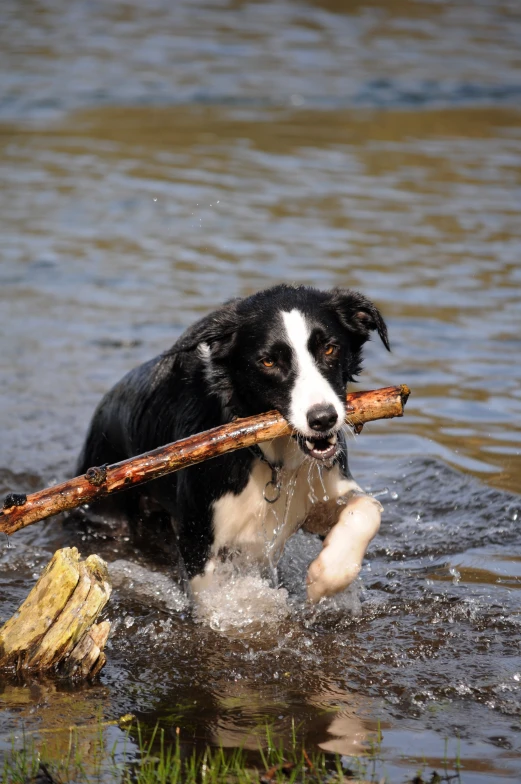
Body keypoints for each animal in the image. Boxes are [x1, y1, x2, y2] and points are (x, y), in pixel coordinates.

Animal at [76, 284, 386, 604]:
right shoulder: (198, 538)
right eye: (269, 361)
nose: (323, 418)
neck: (273, 459)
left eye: (329, 348)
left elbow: (367, 509)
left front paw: (327, 576)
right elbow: (215, 602)